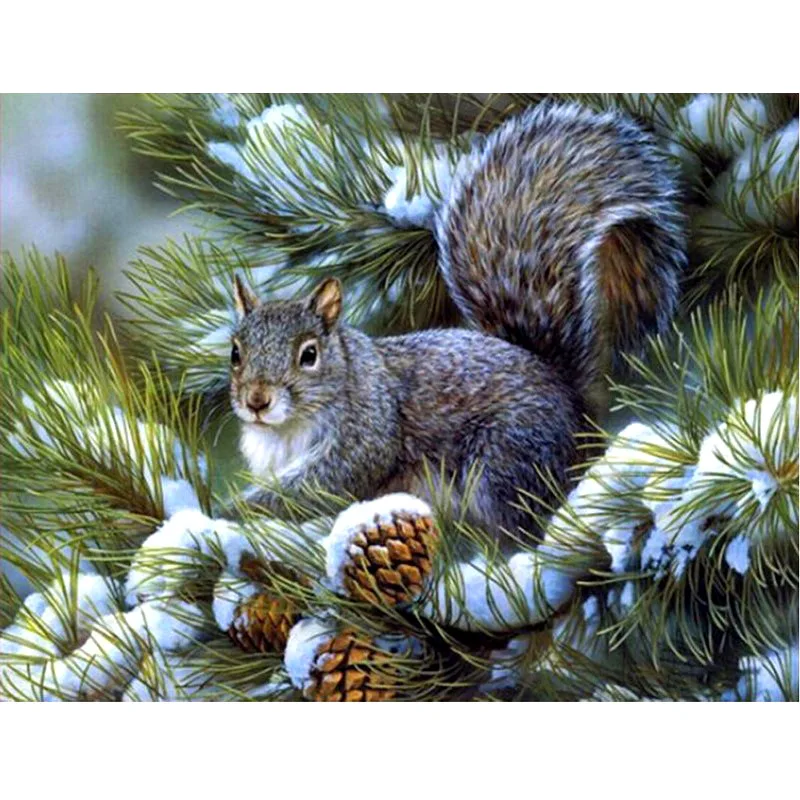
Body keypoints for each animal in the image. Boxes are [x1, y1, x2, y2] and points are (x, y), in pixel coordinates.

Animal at [229, 102, 687, 543]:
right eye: (235, 353)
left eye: (309, 354)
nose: (257, 401)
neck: (287, 428)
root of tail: (576, 409)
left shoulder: (367, 432)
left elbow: (325, 484)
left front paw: (240, 509)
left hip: (506, 458)